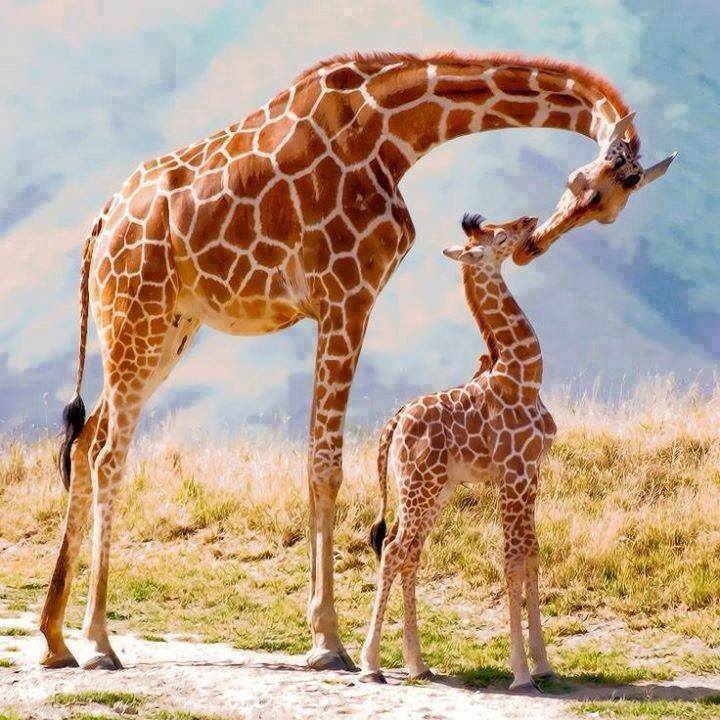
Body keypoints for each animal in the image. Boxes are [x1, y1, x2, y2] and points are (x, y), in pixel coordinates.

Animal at [360, 213, 556, 690]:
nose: (529, 221)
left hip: (434, 490)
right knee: (395, 550)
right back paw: (372, 664)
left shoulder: (531, 474)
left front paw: (543, 664)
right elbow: (512, 560)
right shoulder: (512, 475)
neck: (524, 377)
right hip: (420, 486)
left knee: (407, 551)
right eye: (500, 237)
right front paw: (521, 673)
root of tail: (395, 422)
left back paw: (417, 663)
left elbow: (532, 554)